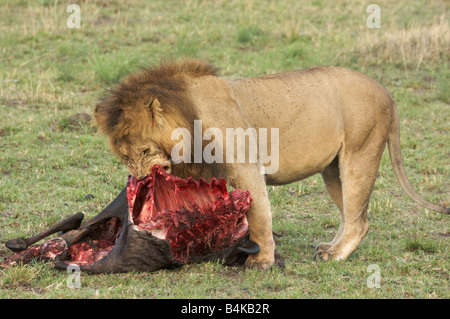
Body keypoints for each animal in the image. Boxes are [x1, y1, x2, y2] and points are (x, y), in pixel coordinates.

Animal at [93, 59, 448, 270]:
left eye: (144, 150)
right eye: (124, 157)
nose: (138, 180)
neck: (187, 117)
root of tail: (385, 91)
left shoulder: (247, 168)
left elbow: (259, 216)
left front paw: (261, 261)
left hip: (360, 153)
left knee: (359, 220)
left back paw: (335, 255)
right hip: (333, 169)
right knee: (352, 215)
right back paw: (329, 247)